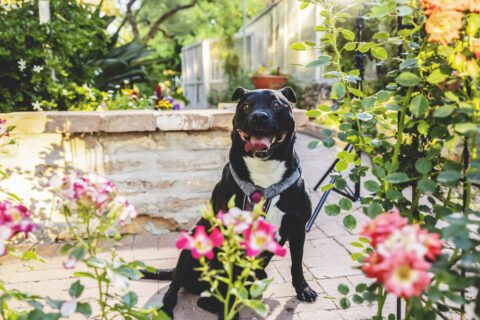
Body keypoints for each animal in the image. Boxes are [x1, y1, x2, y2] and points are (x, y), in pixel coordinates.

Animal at [144, 86, 316, 318]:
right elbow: (231, 277)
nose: (259, 116)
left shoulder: (298, 227)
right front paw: (228, 310)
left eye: (276, 104)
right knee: (174, 287)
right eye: (245, 106)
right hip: (191, 245)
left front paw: (303, 288)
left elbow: (296, 264)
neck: (264, 174)